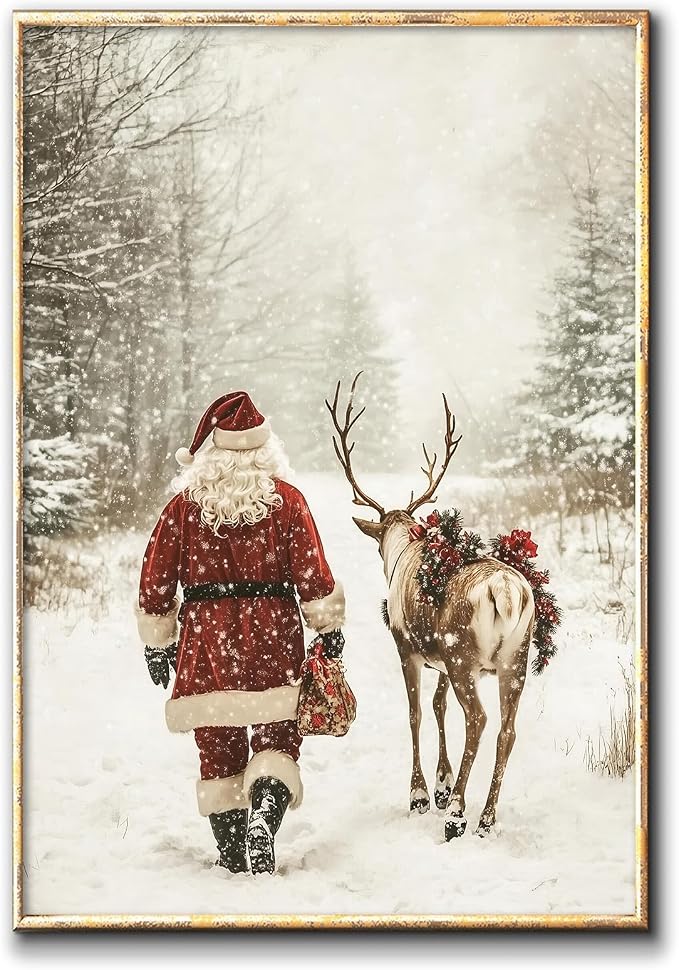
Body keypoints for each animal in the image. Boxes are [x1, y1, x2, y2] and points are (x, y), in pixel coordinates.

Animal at [327, 374, 535, 840]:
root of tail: (506, 591)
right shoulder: (436, 656)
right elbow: (439, 708)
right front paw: (440, 785)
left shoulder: (407, 645)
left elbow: (416, 713)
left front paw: (421, 794)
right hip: (514, 659)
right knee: (508, 730)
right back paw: (485, 817)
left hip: (464, 654)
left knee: (478, 720)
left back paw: (458, 812)